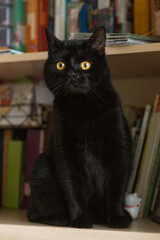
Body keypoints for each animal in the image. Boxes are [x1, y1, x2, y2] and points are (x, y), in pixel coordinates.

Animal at [27, 26, 132, 229]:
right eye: (60, 65)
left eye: (85, 65)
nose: (72, 74)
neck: (83, 108)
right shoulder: (65, 155)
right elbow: (73, 188)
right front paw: (80, 219)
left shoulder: (119, 152)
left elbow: (117, 190)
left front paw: (117, 217)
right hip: (41, 171)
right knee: (33, 213)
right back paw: (58, 217)